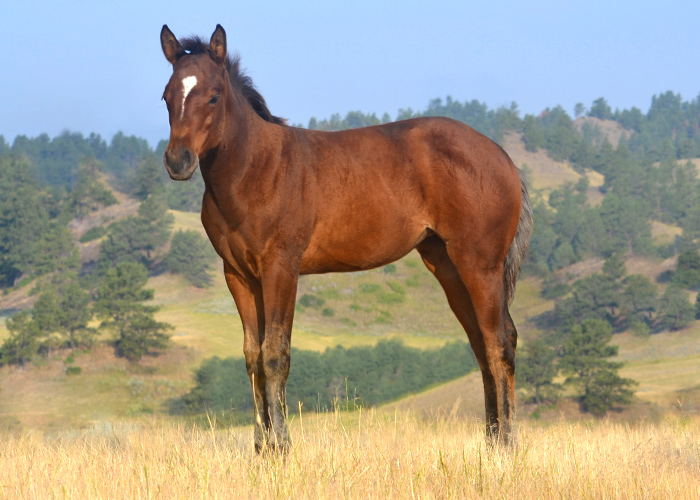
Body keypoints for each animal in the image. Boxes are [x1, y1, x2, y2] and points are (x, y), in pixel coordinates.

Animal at [159, 25, 532, 452]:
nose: (178, 161)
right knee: (481, 344)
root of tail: (502, 157)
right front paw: (261, 449)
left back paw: (507, 444)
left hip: (480, 264)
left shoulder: (281, 268)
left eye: (213, 95)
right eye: (166, 96)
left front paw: (283, 447)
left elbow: (275, 355)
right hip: (448, 266)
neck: (256, 171)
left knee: (499, 341)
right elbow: (253, 357)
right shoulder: (237, 275)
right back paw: (491, 442)